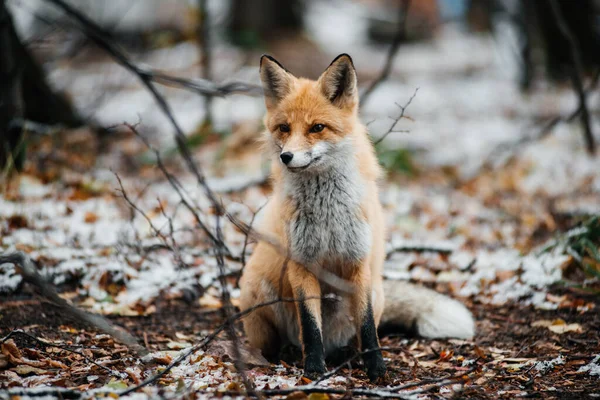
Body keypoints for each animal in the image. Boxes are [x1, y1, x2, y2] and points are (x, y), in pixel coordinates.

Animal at [239, 54, 474, 382]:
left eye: (317, 127)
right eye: (284, 128)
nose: (286, 157)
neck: (326, 213)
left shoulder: (357, 261)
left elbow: (367, 326)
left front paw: (376, 368)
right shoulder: (302, 264)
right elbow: (310, 327)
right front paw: (314, 369)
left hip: (376, 291)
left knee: (355, 335)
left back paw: (346, 356)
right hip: (258, 292)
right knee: (279, 343)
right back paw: (289, 354)